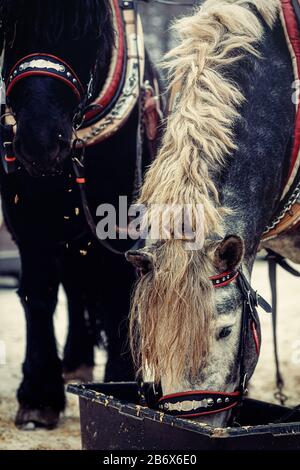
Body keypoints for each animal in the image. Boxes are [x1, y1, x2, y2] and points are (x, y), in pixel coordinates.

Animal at [0, 0, 162, 428]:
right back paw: (75, 361)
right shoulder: (27, 220)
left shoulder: (122, 219)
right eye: (8, 26)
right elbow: (39, 294)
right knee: (74, 285)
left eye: (88, 28)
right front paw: (39, 396)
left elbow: (119, 290)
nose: (40, 143)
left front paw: (120, 382)